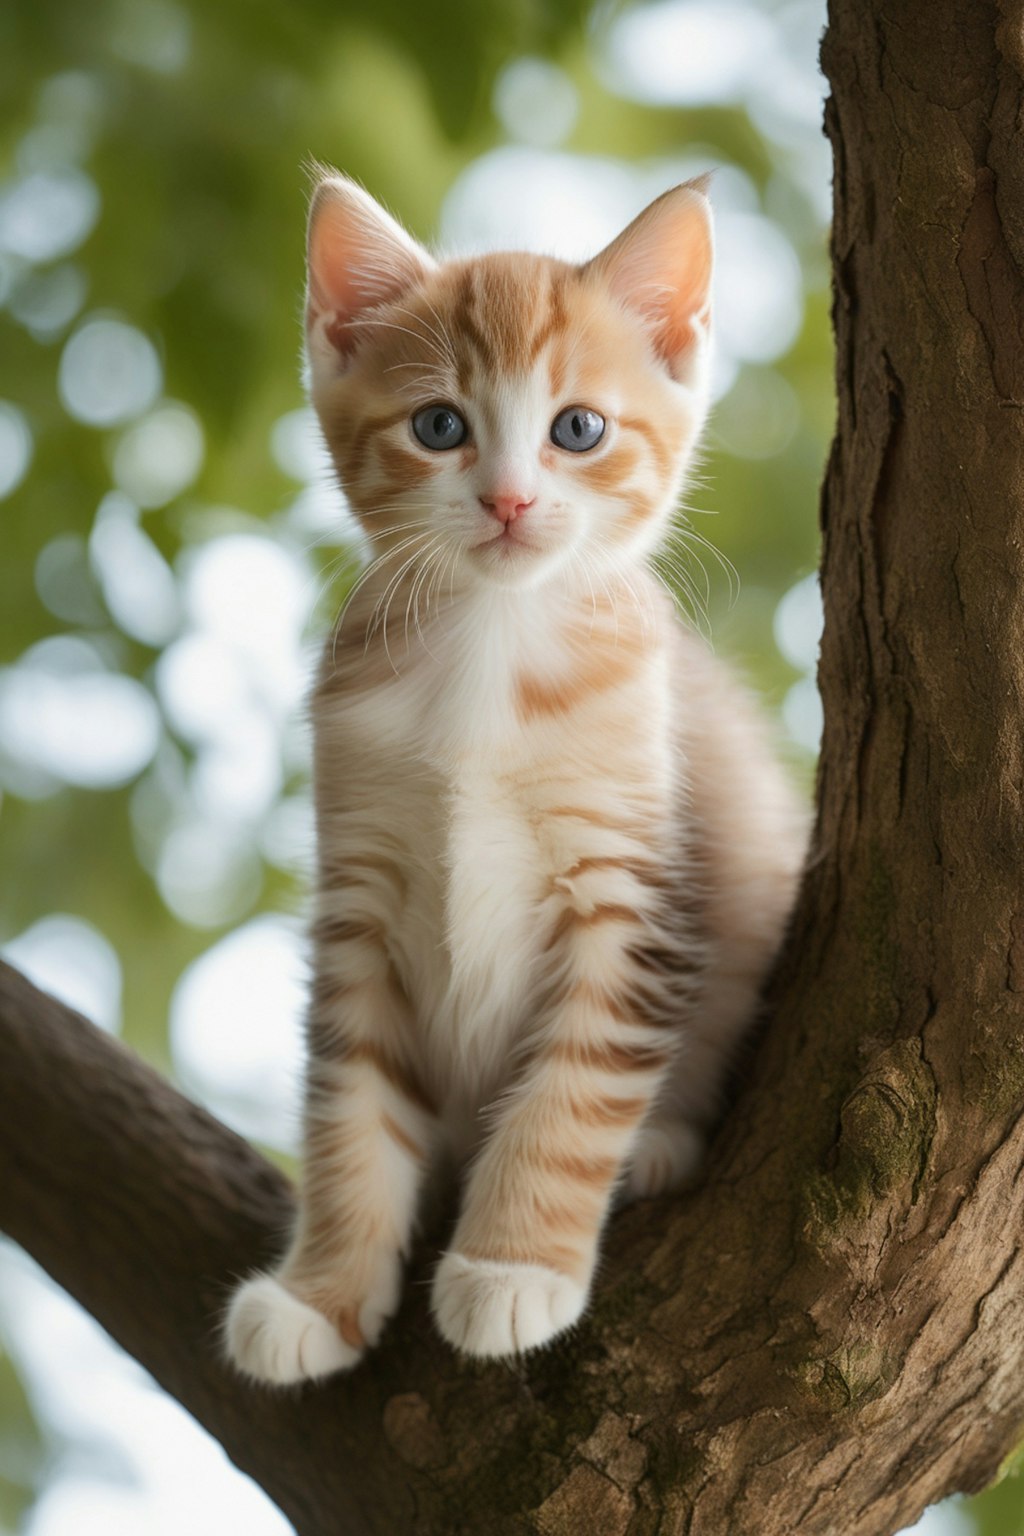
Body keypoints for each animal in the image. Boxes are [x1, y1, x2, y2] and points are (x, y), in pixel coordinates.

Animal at [224, 171, 810, 1382]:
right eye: (439, 426)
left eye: (576, 429)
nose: (506, 501)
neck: (490, 653)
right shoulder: (359, 898)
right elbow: (348, 1107)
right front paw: (320, 1294)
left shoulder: (632, 896)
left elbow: (571, 1095)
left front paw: (513, 1269)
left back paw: (660, 1146)